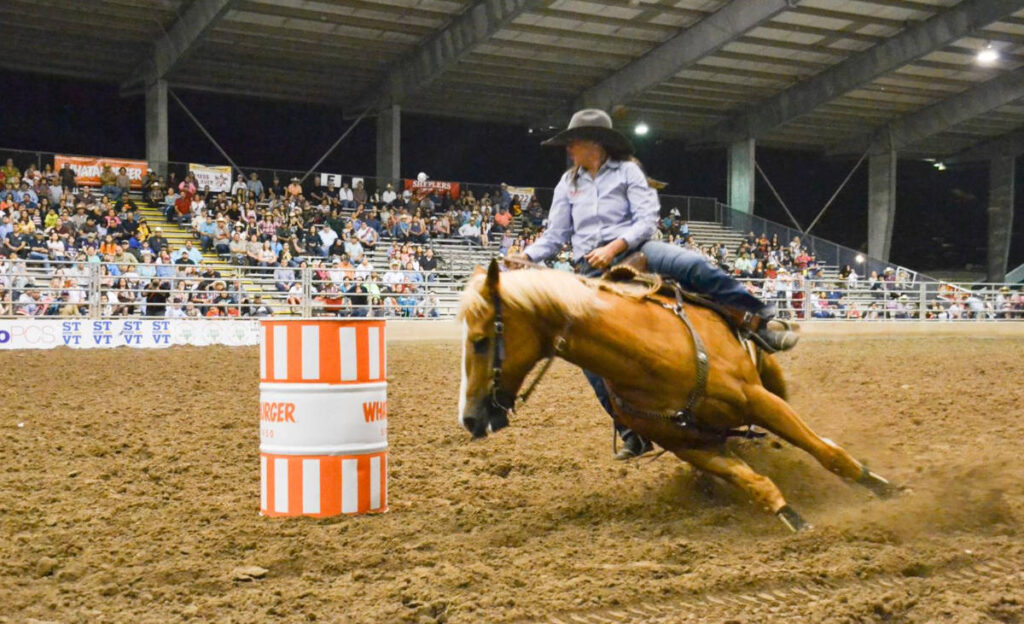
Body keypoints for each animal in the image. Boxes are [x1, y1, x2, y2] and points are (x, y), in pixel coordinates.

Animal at [458, 258, 897, 528]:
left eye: (480, 340)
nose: (469, 418)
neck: (651, 353)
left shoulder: (758, 399)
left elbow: (829, 454)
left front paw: (885, 488)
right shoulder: (691, 445)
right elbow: (755, 483)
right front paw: (795, 520)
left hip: (771, 380)